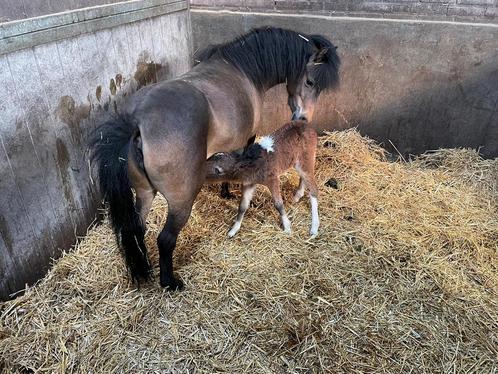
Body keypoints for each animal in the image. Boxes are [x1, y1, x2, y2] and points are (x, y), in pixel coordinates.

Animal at [88, 27, 338, 290]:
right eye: (310, 82)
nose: (303, 118)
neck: (242, 69)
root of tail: (138, 120)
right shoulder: (247, 139)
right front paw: (230, 193)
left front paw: (225, 192)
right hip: (180, 202)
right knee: (165, 239)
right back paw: (170, 283)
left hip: (145, 193)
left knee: (138, 229)